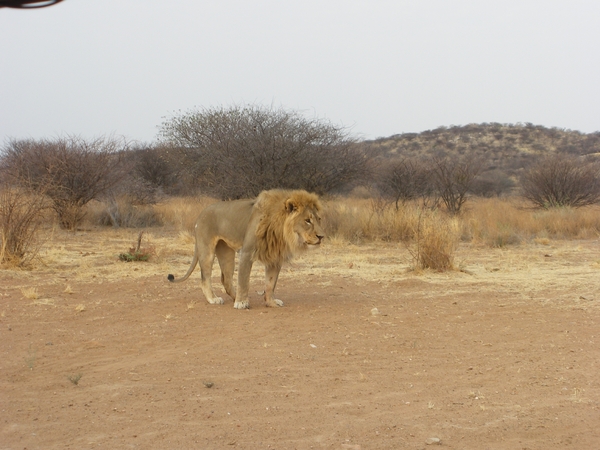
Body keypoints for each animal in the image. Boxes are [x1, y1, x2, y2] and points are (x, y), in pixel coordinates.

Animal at [166, 189, 326, 310]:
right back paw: (214, 299)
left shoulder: (274, 257)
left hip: (226, 253)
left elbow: (271, 283)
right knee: (205, 278)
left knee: (226, 279)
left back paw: (234, 296)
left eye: (319, 219)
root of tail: (200, 214)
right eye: (307, 220)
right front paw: (241, 303)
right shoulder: (247, 252)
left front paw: (271, 302)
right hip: (207, 251)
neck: (280, 229)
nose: (321, 236)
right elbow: (243, 280)